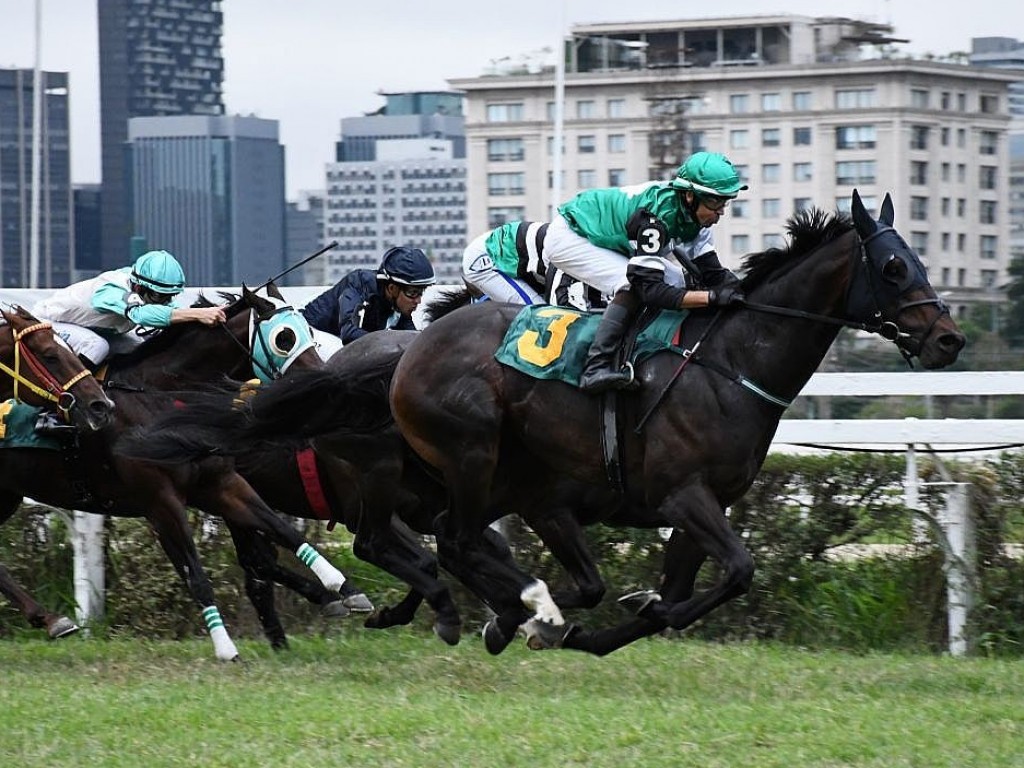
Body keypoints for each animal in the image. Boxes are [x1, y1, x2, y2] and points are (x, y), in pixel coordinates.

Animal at [385, 192, 966, 655]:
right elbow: (737, 570)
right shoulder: (682, 495)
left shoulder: (705, 505)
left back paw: (508, 615)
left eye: (920, 260)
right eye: (893, 267)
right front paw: (585, 616)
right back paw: (523, 608)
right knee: (459, 540)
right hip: (473, 456)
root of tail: (415, 345)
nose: (948, 339)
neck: (731, 362)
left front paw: (608, 622)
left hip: (505, 481)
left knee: (459, 539)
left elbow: (683, 592)